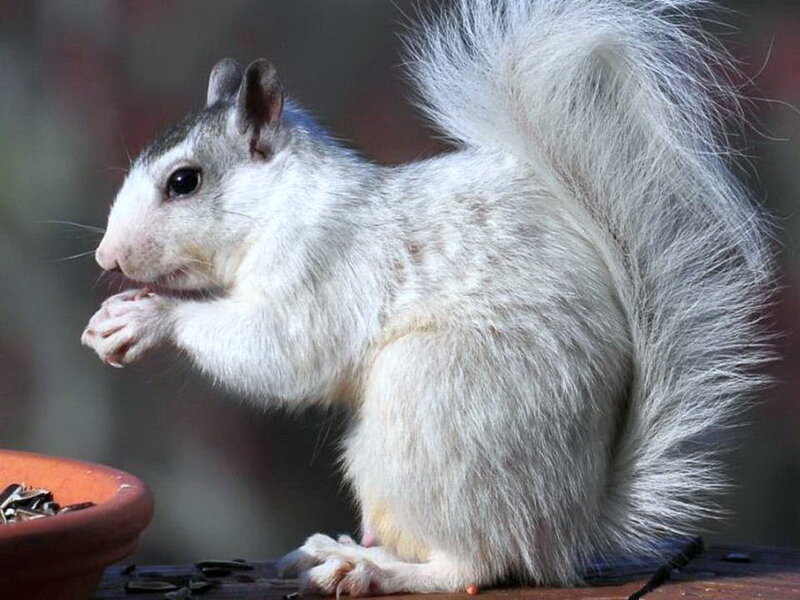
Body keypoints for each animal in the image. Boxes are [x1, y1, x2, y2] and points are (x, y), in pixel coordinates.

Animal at [81, 0, 774, 595]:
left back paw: (370, 569)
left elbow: (285, 351)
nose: (107, 259)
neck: (283, 200)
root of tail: (571, 525)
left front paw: (149, 318)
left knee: (474, 564)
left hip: (433, 405)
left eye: (184, 181)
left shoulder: (323, 265)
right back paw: (339, 549)